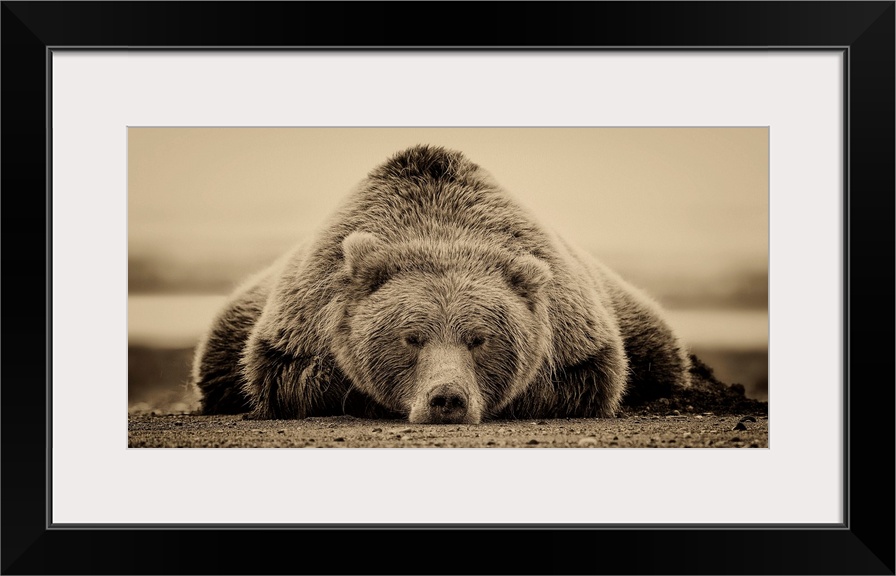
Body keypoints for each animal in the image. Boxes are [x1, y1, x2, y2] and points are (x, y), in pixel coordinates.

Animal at [191, 144, 692, 424]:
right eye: (411, 337)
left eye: (479, 339)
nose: (446, 399)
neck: (440, 228)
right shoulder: (302, 322)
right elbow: (288, 377)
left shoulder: (576, 332)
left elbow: (587, 378)